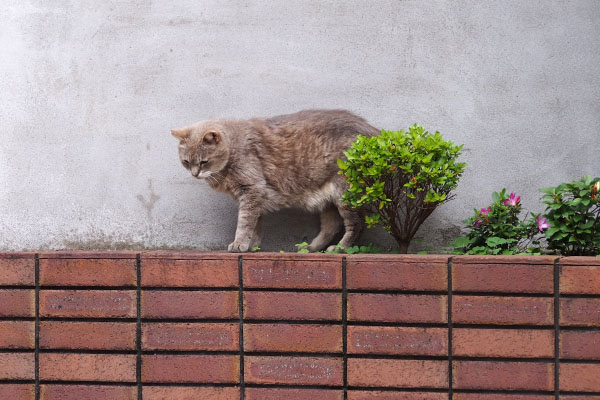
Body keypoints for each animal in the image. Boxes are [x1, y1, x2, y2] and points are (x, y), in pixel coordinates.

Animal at [172, 109, 380, 253]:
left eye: (204, 162)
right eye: (186, 162)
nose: (194, 174)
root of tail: (374, 132)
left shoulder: (251, 189)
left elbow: (244, 222)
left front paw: (239, 243)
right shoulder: (254, 196)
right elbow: (255, 224)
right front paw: (251, 245)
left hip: (346, 194)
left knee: (356, 224)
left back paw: (340, 248)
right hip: (327, 198)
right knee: (331, 226)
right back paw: (310, 247)